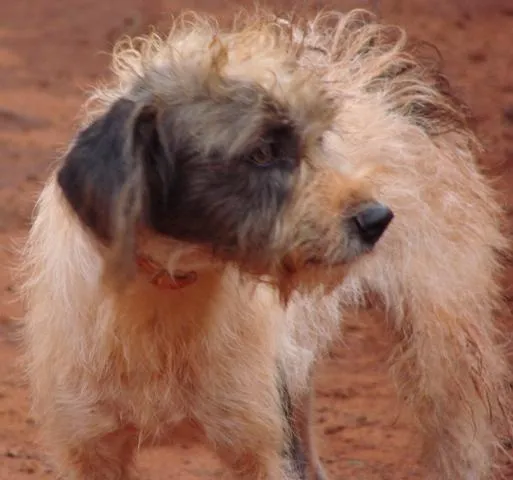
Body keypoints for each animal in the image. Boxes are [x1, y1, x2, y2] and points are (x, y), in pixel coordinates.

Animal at [18, 7, 510, 480]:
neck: (166, 290)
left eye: (319, 140)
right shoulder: (88, 449)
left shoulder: (266, 448)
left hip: (446, 356)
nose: (377, 219)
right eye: (261, 153)